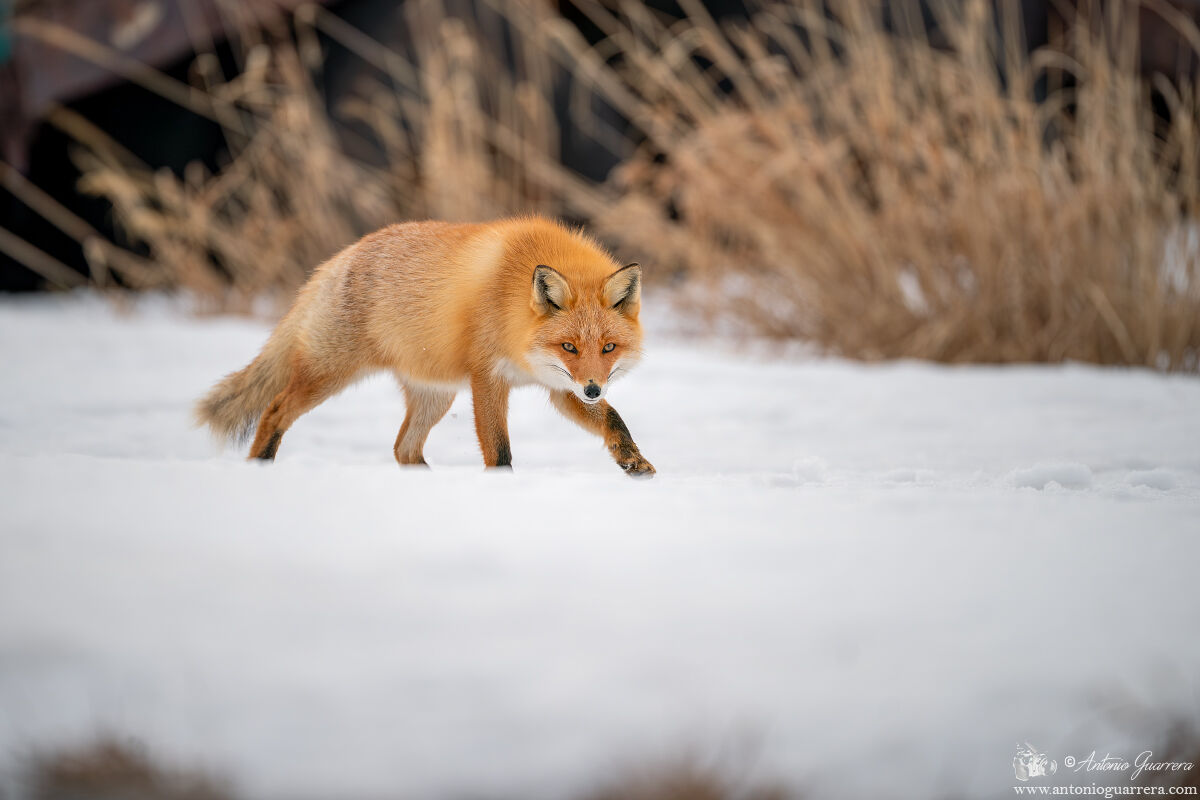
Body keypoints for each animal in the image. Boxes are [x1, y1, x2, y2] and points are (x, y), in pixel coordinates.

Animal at [195, 215, 656, 477]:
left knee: (403, 449)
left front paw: (632, 461)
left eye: (608, 347)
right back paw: (259, 469)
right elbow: (499, 450)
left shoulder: (560, 387)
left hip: (435, 396)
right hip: (328, 375)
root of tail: (338, 259)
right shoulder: (487, 377)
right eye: (569, 346)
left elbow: (614, 421)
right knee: (274, 411)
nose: (593, 389)